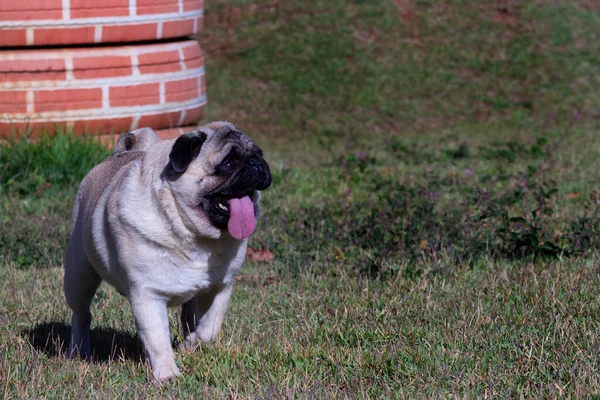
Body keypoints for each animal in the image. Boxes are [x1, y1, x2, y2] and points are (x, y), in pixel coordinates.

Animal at [63, 121, 272, 382]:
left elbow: (210, 328)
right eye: (229, 163)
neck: (194, 236)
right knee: (81, 315)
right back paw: (78, 351)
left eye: (260, 154)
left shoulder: (220, 287)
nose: (257, 164)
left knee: (189, 315)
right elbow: (158, 338)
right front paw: (167, 375)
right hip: (79, 276)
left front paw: (192, 344)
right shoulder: (148, 295)